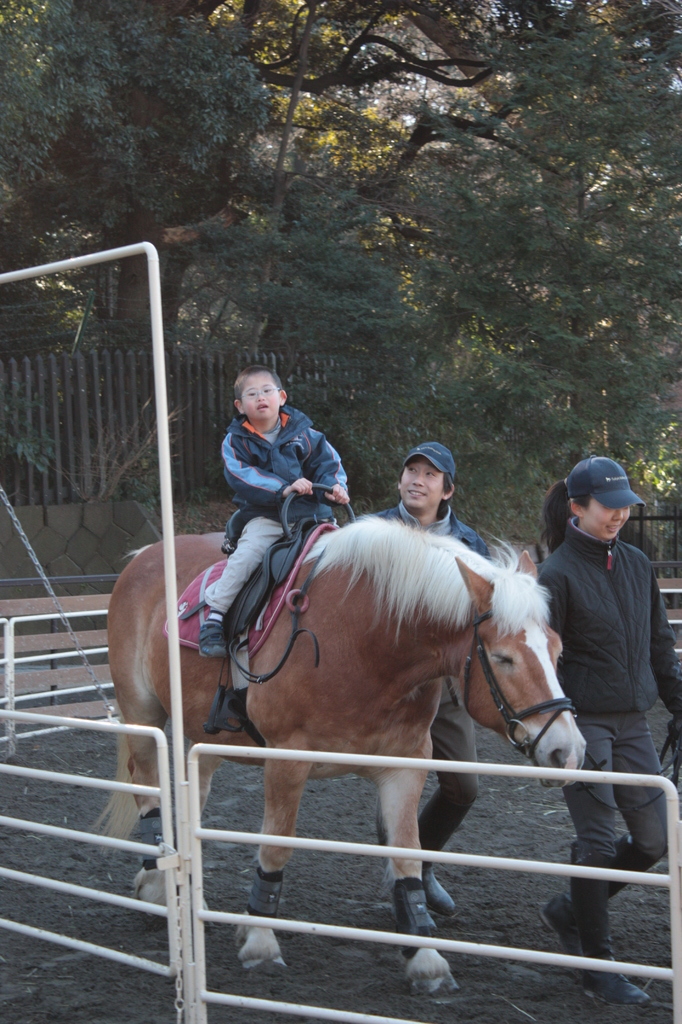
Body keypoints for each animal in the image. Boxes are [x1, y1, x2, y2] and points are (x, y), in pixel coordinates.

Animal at [103, 516, 581, 995]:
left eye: (558, 649)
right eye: (503, 658)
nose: (568, 750)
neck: (368, 640)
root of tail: (143, 556)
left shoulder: (406, 765)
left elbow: (407, 855)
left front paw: (425, 956)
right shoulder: (287, 760)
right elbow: (275, 848)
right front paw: (260, 939)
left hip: (204, 735)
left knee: (193, 797)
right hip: (143, 715)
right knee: (148, 789)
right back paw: (157, 884)